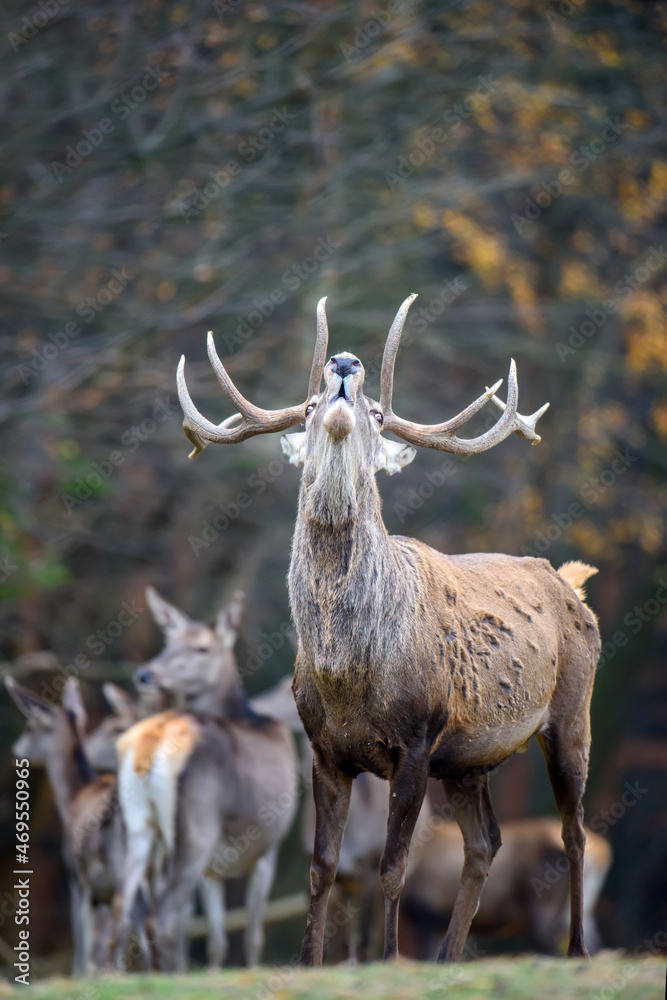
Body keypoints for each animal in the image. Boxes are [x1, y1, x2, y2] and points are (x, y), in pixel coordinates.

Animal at [5, 676, 129, 972]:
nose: (14, 751)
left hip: (116, 860)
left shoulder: (76, 873)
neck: (73, 798)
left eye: (30, 727)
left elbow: (82, 933)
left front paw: (83, 973)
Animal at [116, 588, 298, 972]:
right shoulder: (269, 845)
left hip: (138, 828)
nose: (146, 674)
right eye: (168, 642)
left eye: (201, 648)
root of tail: (151, 743)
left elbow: (216, 942)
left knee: (123, 908)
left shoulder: (213, 869)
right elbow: (253, 937)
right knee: (161, 918)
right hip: (196, 828)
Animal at [177, 292, 600, 964]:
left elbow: (392, 867)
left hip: (570, 713)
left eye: (378, 411)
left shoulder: (417, 741)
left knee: (574, 831)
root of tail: (572, 585)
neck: (348, 671)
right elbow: (323, 867)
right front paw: (309, 963)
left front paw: (388, 959)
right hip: (469, 760)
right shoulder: (325, 751)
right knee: (486, 843)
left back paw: (576, 951)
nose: (344, 364)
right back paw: (448, 957)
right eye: (308, 405)